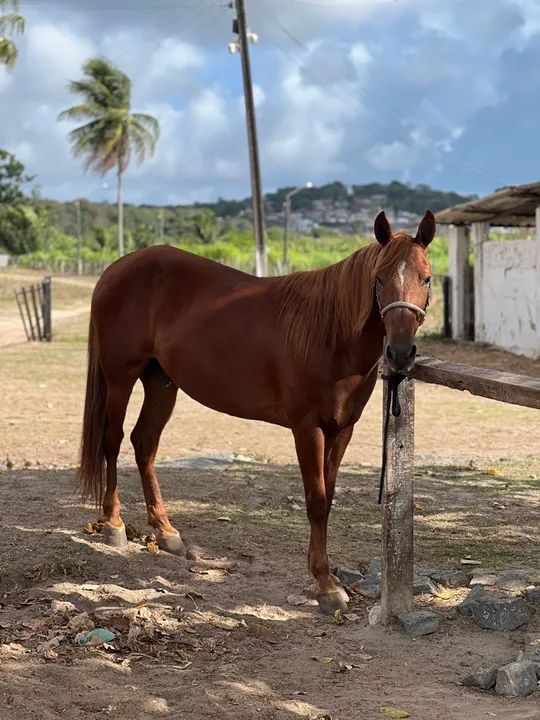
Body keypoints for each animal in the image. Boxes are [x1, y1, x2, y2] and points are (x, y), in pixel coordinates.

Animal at [78, 210, 435, 613]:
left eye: (426, 278)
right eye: (379, 278)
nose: (401, 354)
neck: (329, 334)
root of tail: (113, 271)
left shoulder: (342, 428)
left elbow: (328, 498)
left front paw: (325, 576)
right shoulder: (307, 428)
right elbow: (316, 501)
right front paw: (326, 585)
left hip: (161, 382)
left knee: (145, 444)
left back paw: (167, 532)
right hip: (120, 378)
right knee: (113, 442)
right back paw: (113, 524)